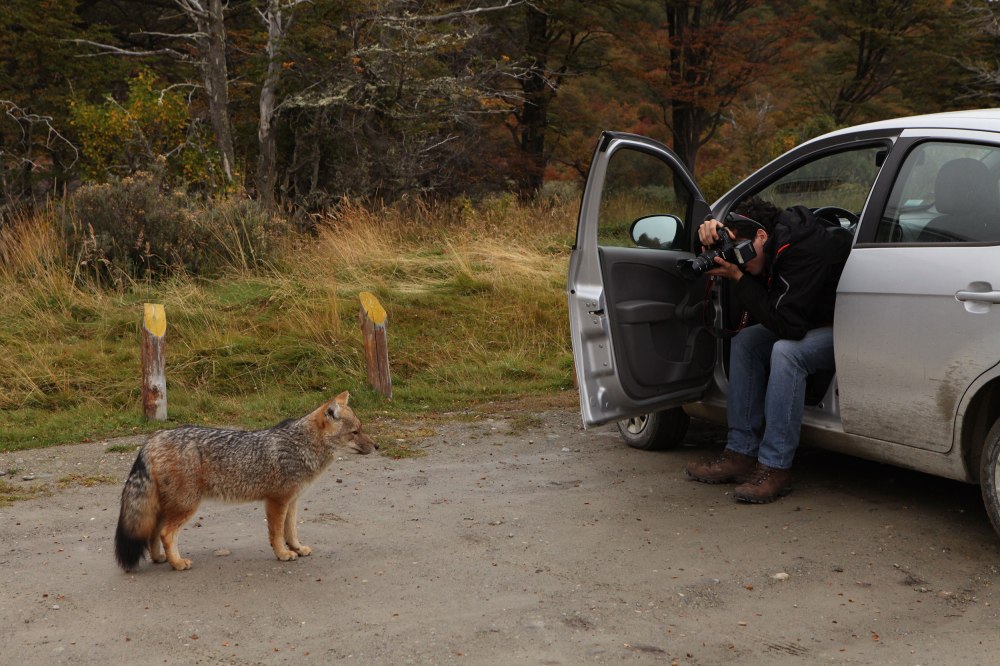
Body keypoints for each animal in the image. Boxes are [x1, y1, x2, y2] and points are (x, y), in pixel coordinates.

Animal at [114, 391, 376, 572]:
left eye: (361, 429)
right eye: (355, 432)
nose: (377, 446)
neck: (300, 445)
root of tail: (153, 438)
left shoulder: (292, 501)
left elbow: (291, 530)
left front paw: (297, 548)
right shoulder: (276, 501)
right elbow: (276, 533)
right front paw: (283, 554)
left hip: (169, 506)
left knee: (153, 532)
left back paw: (160, 558)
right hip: (186, 505)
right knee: (166, 533)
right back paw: (177, 563)